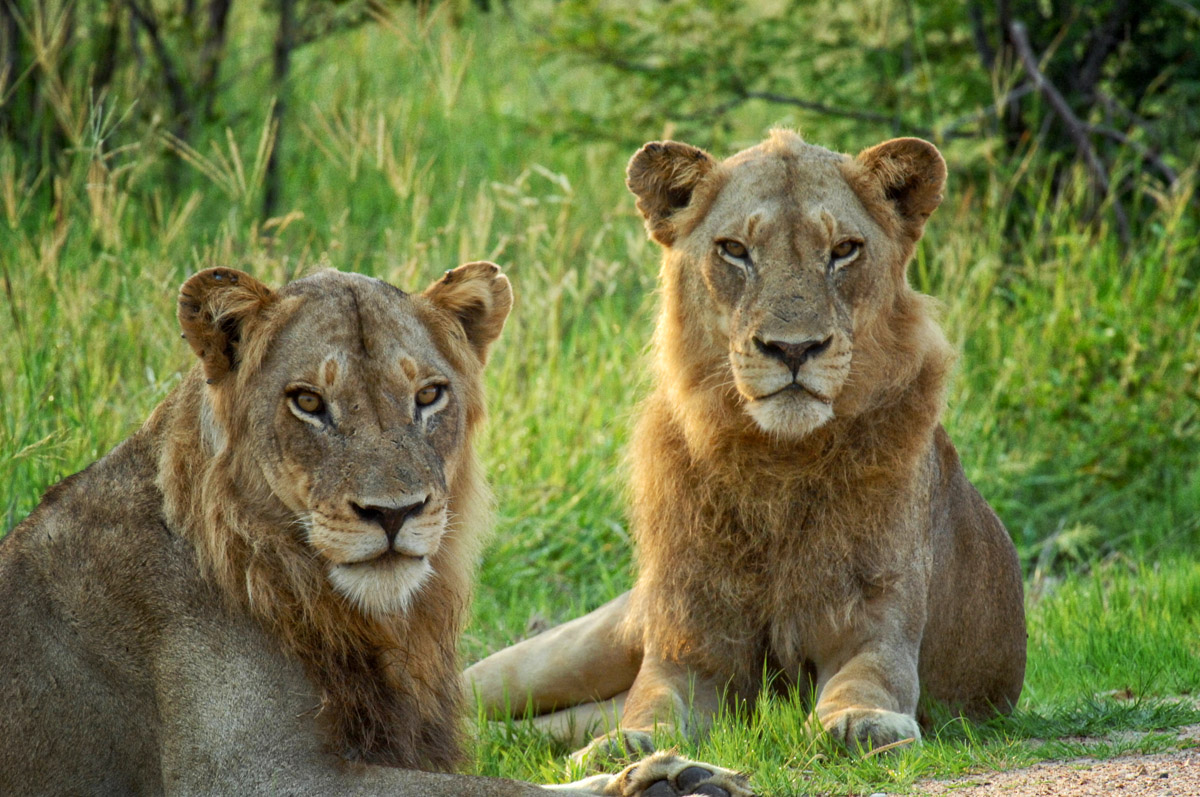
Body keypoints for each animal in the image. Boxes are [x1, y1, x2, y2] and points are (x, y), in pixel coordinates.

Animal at [0, 263, 751, 797]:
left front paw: (670, 776)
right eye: (307, 401)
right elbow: (489, 790)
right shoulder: (247, 773)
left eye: (429, 395)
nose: (393, 513)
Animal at [465, 131, 1027, 757]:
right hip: (580, 645)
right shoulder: (687, 650)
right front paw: (631, 745)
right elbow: (653, 703)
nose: (793, 348)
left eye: (844, 250)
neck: (776, 461)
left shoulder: (878, 627)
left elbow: (866, 681)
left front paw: (860, 722)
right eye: (734, 250)